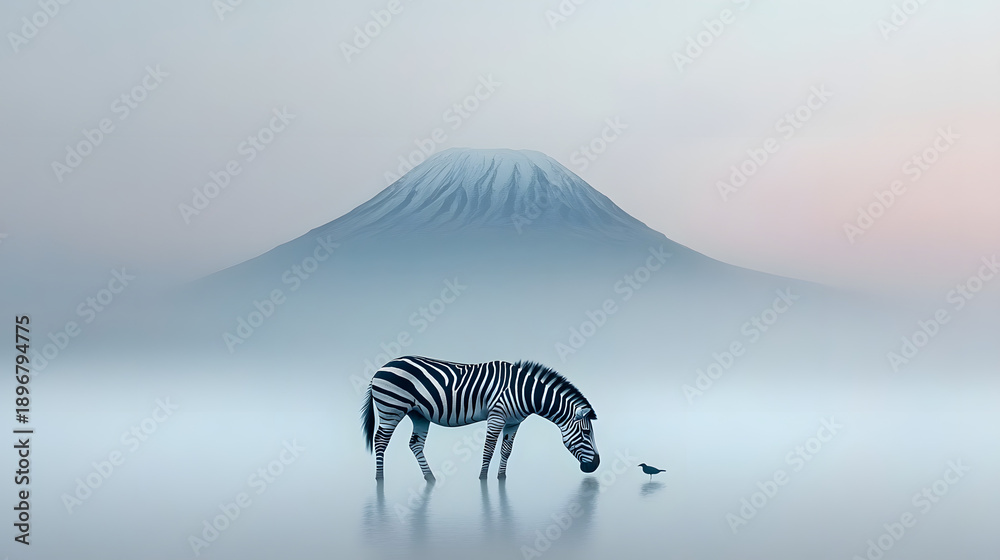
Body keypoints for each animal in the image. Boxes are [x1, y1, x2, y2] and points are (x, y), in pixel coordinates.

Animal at [361, 356, 599, 480]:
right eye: (586, 432)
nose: (595, 466)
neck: (524, 392)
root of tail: (380, 369)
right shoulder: (497, 416)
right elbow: (489, 449)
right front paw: (483, 478)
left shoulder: (513, 423)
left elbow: (506, 450)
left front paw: (501, 478)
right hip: (392, 408)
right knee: (380, 440)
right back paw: (379, 479)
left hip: (418, 414)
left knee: (415, 444)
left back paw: (430, 478)